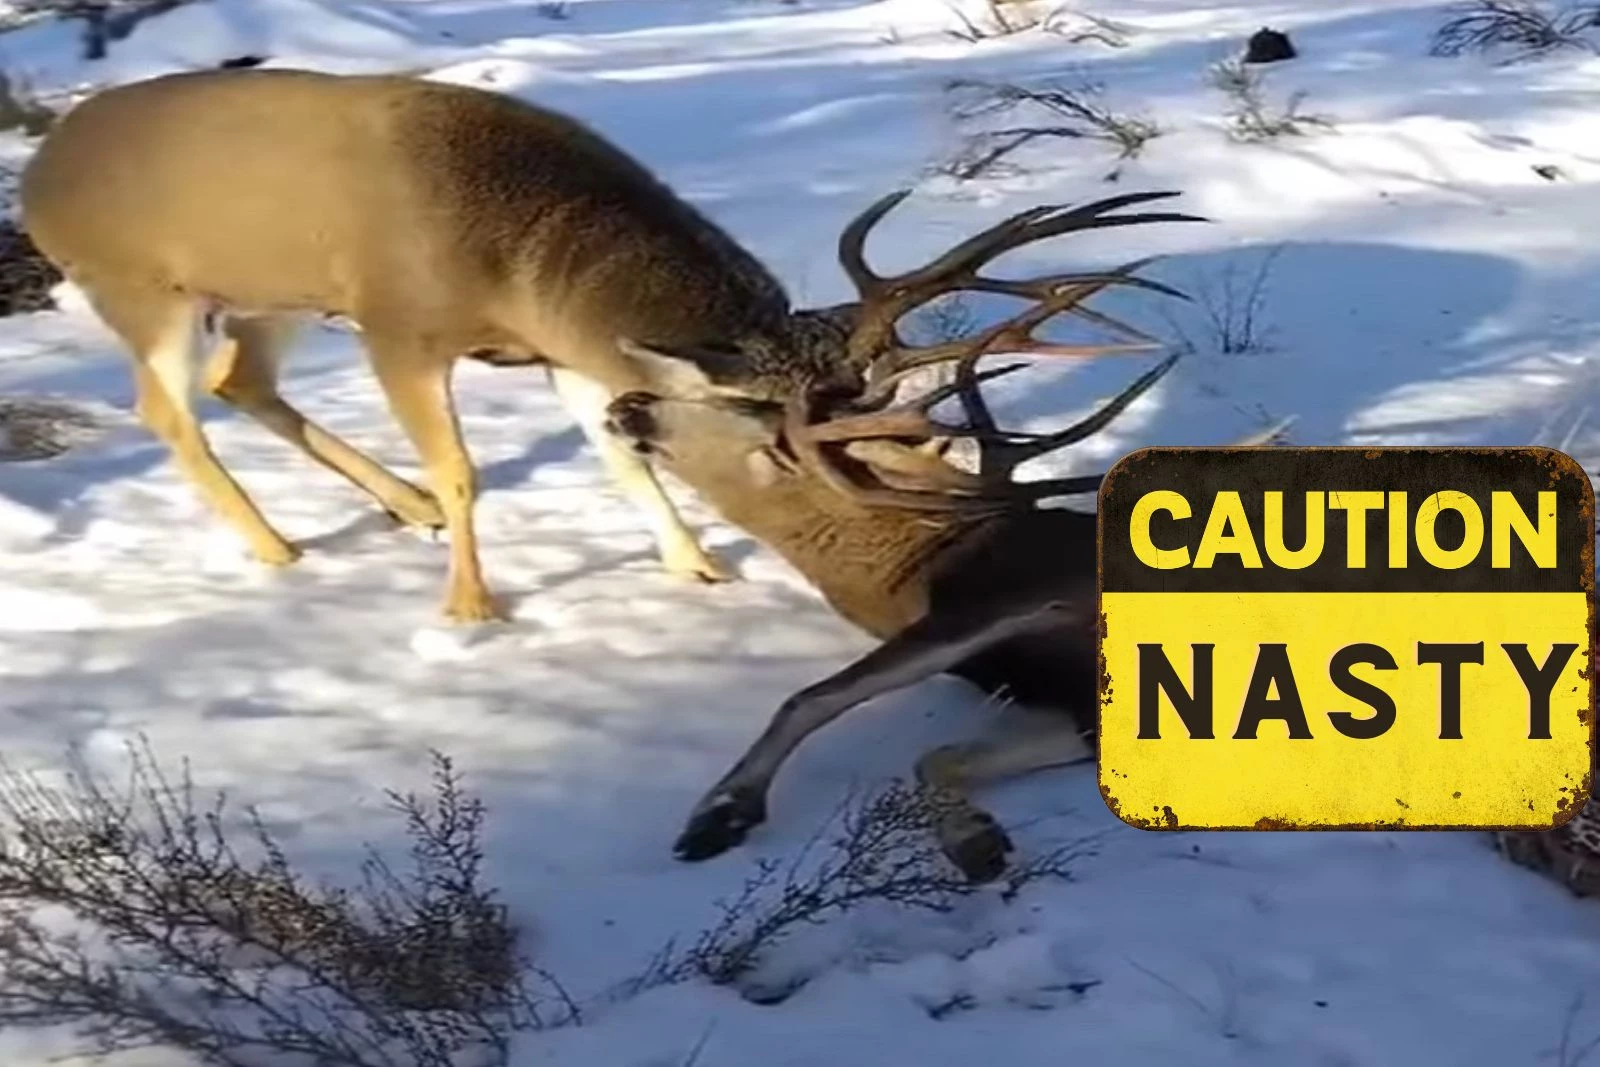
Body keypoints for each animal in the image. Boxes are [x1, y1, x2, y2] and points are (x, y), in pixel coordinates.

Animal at [15, 68, 876, 627]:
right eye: (771, 432)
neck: (513, 257)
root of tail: (35, 178)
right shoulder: (398, 328)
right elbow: (462, 471)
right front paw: (470, 605)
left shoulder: (561, 350)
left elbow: (622, 458)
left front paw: (697, 565)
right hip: (145, 293)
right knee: (166, 409)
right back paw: (279, 546)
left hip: (273, 295)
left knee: (239, 380)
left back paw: (403, 505)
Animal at [595, 187, 1292, 883]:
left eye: (740, 408)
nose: (628, 404)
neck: (912, 567)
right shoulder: (1080, 709)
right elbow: (938, 756)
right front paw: (974, 840)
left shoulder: (1016, 591)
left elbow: (811, 697)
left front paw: (719, 812)